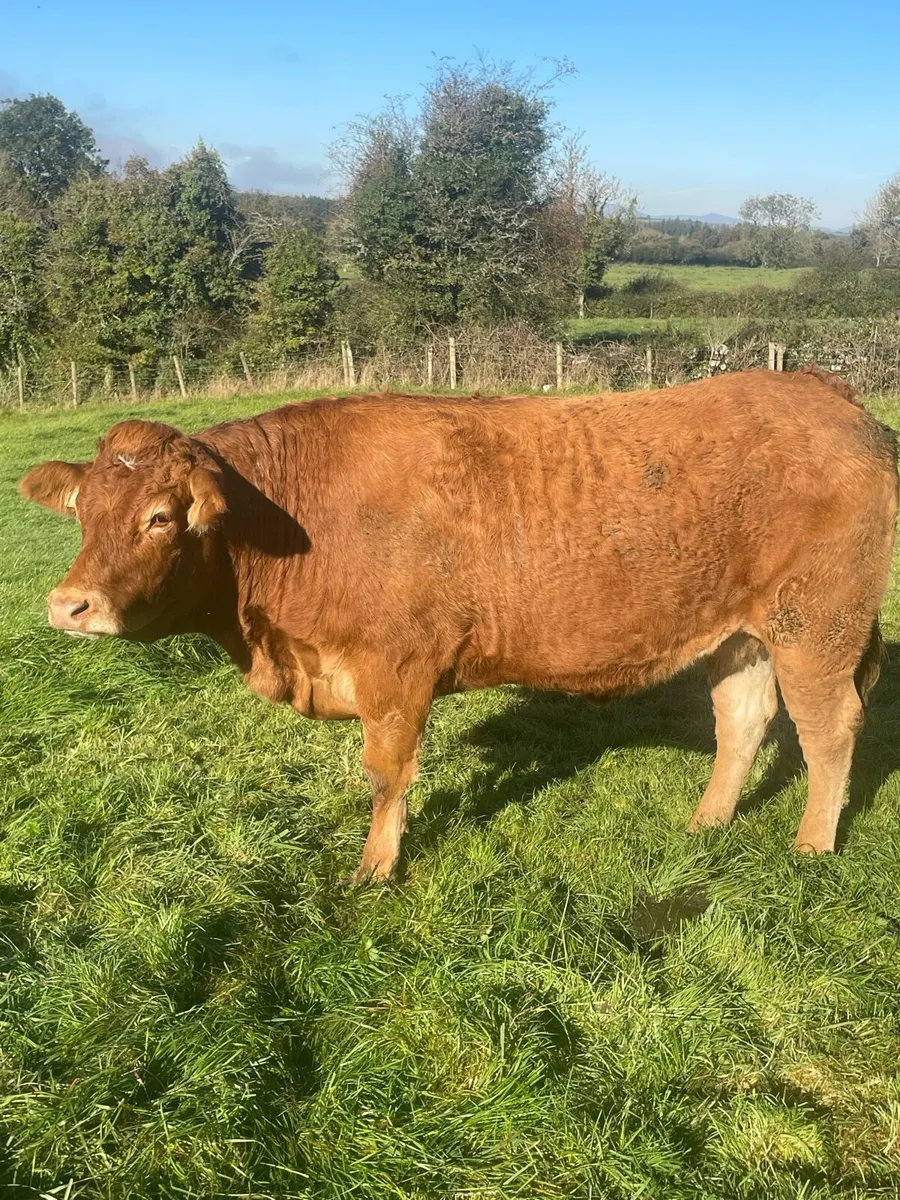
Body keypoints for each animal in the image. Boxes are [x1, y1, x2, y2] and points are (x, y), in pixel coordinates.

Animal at [19, 367, 898, 882]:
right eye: (82, 511)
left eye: (160, 517)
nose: (69, 606)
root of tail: (827, 394)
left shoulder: (394, 670)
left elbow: (386, 775)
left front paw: (376, 869)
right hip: (743, 632)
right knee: (743, 719)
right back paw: (706, 822)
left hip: (817, 626)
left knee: (830, 730)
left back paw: (813, 846)